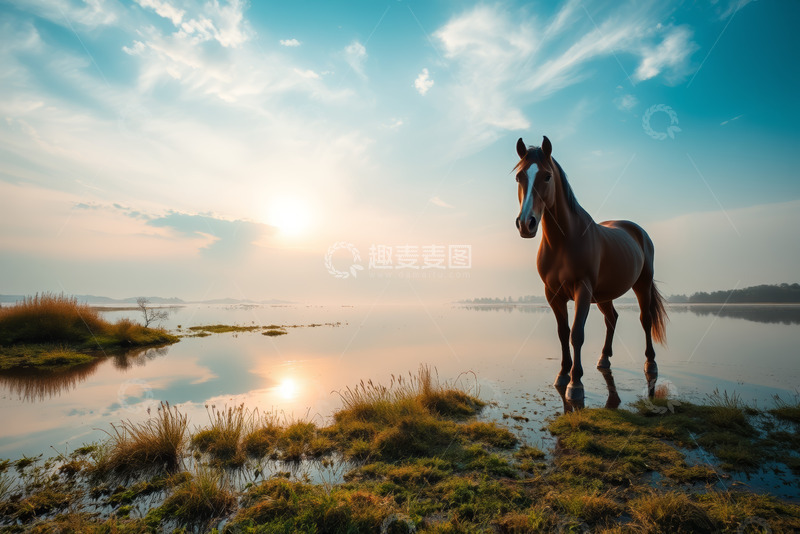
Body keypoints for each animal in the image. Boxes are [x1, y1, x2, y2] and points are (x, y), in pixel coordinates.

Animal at [513, 136, 667, 403]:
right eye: (519, 177)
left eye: (546, 176)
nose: (526, 223)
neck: (564, 241)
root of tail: (638, 231)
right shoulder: (553, 294)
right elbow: (562, 332)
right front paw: (563, 374)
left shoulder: (582, 290)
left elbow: (576, 333)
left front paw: (575, 384)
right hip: (604, 295)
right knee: (612, 318)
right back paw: (604, 359)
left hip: (642, 284)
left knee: (645, 319)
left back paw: (651, 363)